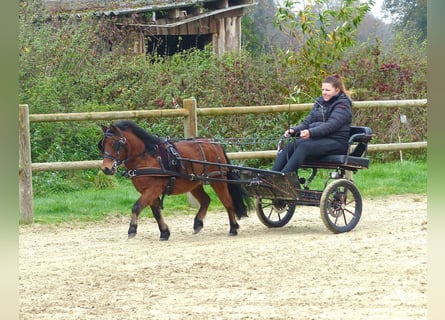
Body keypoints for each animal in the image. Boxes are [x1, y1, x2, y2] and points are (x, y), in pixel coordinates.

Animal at [98, 120, 250, 240]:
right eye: (102, 145)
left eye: (115, 144)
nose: (106, 168)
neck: (147, 157)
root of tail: (214, 144)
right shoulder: (149, 191)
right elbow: (156, 212)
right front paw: (164, 232)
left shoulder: (154, 188)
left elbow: (136, 207)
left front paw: (132, 229)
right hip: (193, 183)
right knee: (206, 200)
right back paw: (198, 223)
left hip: (217, 179)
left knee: (227, 202)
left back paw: (233, 228)